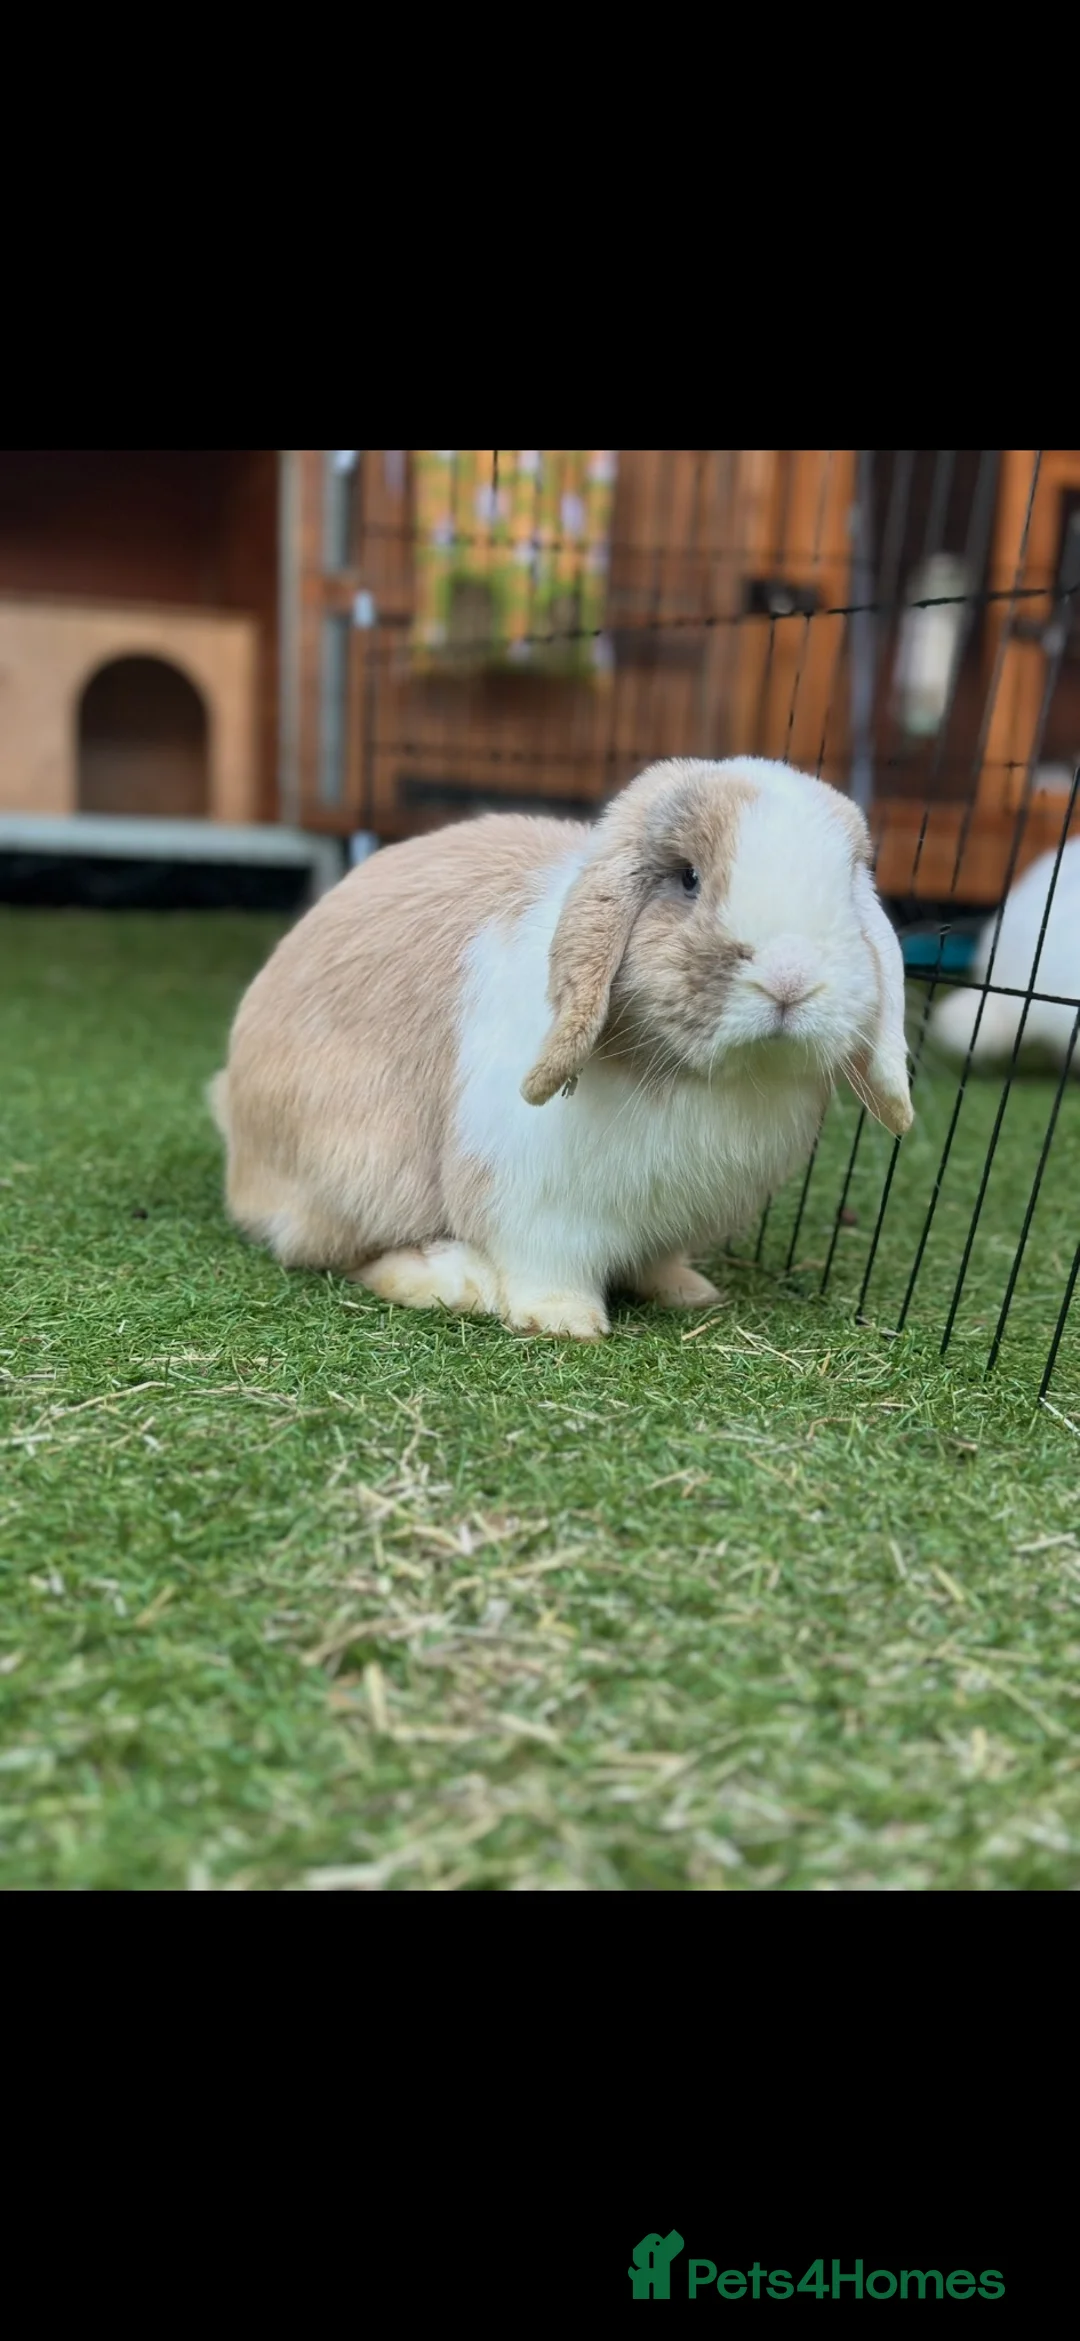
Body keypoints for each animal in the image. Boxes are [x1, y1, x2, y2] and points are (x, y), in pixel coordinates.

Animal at [210, 756, 913, 1340]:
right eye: (687, 879)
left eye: (847, 890)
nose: (791, 978)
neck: (700, 1078)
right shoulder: (533, 1203)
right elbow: (546, 1266)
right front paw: (565, 1322)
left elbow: (658, 1261)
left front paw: (686, 1291)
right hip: (359, 1167)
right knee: (334, 1251)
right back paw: (456, 1283)